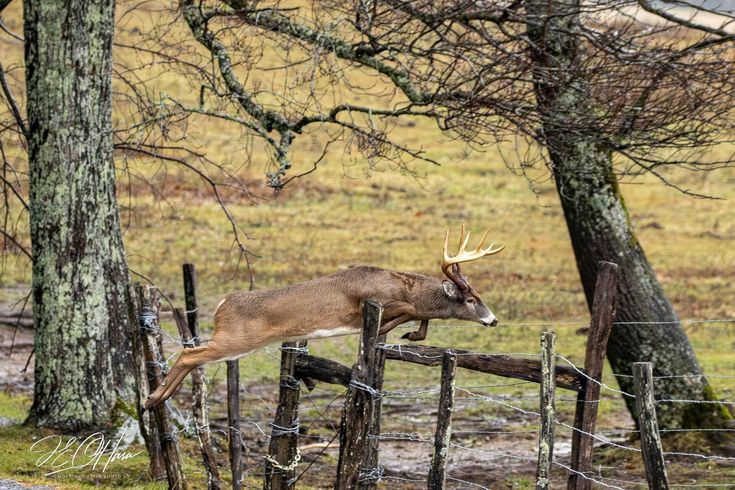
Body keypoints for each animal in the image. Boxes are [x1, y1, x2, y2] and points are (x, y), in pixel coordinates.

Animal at [142, 227, 506, 410]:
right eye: (472, 300)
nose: (493, 320)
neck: (403, 285)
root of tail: (221, 304)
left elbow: (420, 320)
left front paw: (410, 335)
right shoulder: (373, 301)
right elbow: (401, 315)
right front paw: (392, 331)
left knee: (191, 354)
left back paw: (154, 400)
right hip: (237, 338)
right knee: (191, 353)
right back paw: (152, 398)